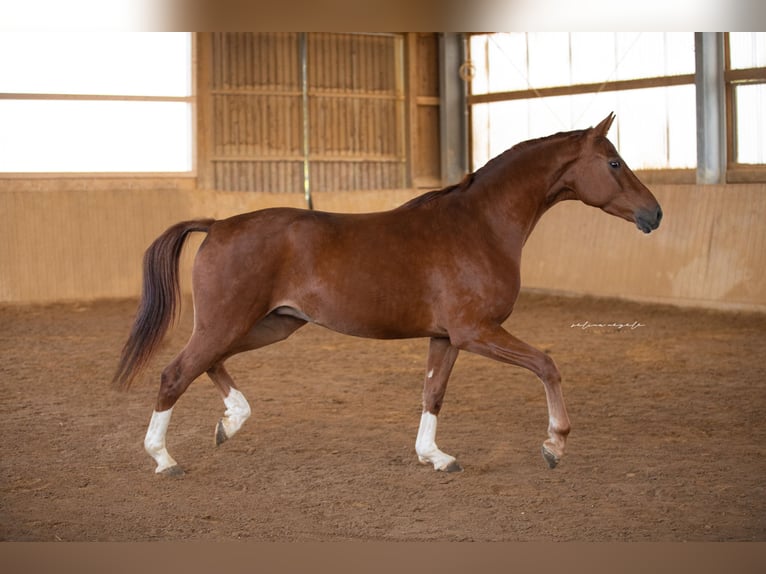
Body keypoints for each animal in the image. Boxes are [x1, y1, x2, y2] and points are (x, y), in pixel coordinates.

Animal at [115, 115, 664, 480]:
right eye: (614, 161)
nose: (654, 214)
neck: (480, 226)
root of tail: (218, 224)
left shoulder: (446, 338)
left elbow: (433, 393)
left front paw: (434, 456)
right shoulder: (477, 332)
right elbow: (547, 364)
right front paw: (555, 443)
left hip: (270, 324)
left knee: (207, 363)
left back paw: (230, 423)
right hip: (230, 323)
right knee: (175, 374)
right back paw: (164, 458)